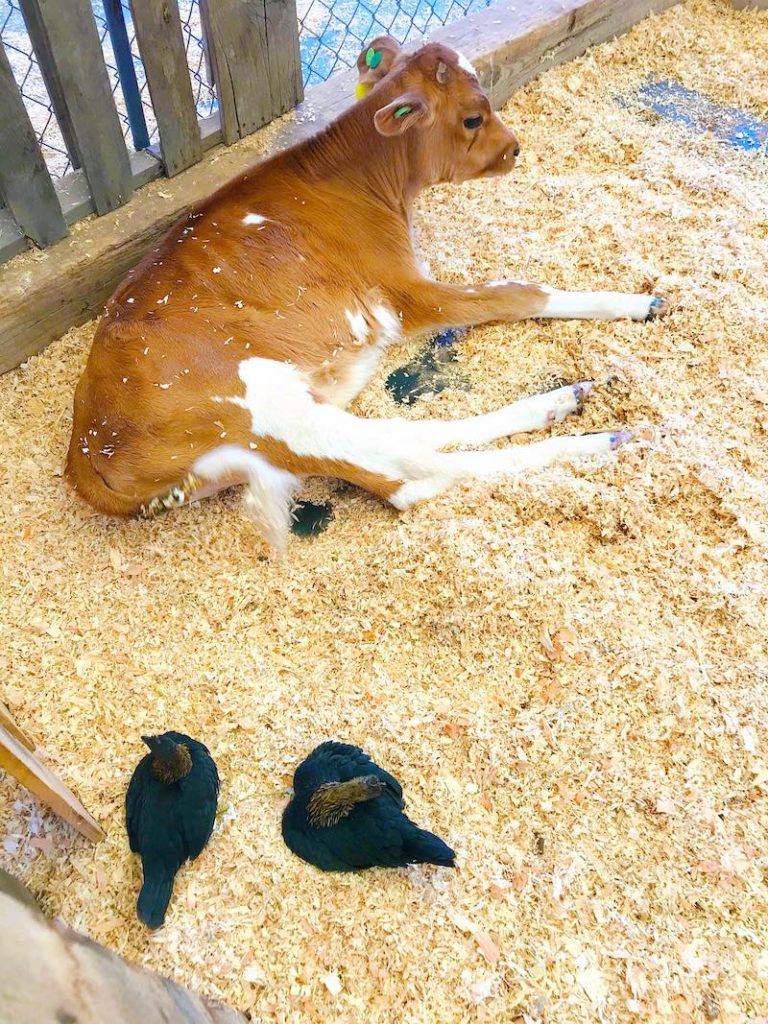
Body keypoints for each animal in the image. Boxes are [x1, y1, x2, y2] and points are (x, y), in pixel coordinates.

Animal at [66, 37, 667, 552]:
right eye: (473, 116)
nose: (516, 149)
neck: (358, 179)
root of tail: (84, 453)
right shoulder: (407, 293)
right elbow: (523, 292)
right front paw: (632, 302)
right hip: (268, 411)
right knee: (413, 476)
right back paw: (597, 440)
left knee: (409, 439)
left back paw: (560, 402)